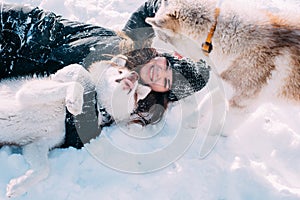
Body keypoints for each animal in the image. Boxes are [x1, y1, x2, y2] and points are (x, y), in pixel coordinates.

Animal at [1, 55, 151, 198]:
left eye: (134, 91)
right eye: (120, 71)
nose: (135, 75)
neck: (98, 105)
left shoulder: (38, 143)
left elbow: (43, 170)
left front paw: (17, 186)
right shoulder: (28, 91)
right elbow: (76, 82)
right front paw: (75, 103)